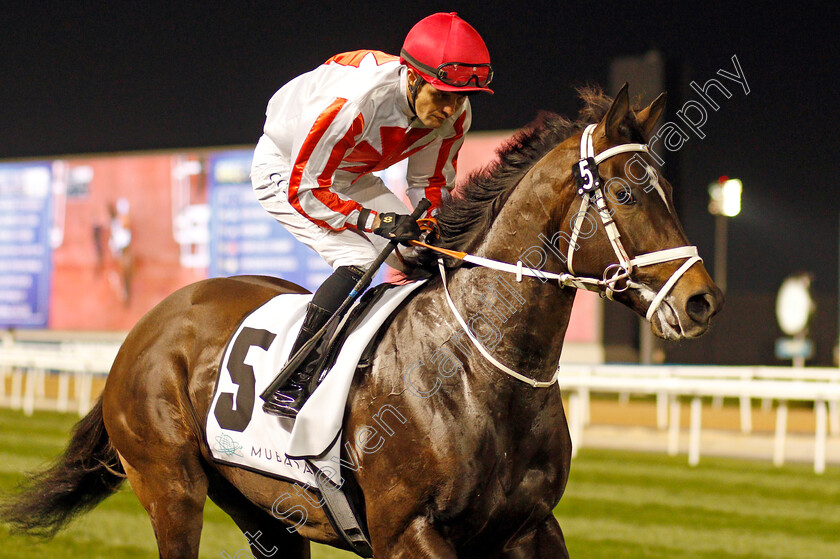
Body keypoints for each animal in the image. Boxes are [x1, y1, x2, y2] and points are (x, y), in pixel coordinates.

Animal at [0, 85, 720, 556]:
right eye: (625, 191)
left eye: (667, 188)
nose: (700, 301)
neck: (478, 371)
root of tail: (151, 324)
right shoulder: (410, 532)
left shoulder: (532, 527)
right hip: (169, 486)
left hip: (266, 511)